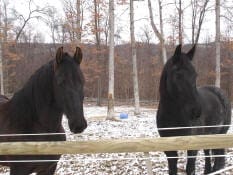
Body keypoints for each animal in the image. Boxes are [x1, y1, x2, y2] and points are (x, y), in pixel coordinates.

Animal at [157, 44, 231, 175]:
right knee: (208, 155)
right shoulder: (169, 150)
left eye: (195, 75)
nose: (196, 111)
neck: (172, 116)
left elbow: (190, 168)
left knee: (217, 161)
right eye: (178, 75)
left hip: (219, 134)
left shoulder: (192, 146)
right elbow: (172, 169)